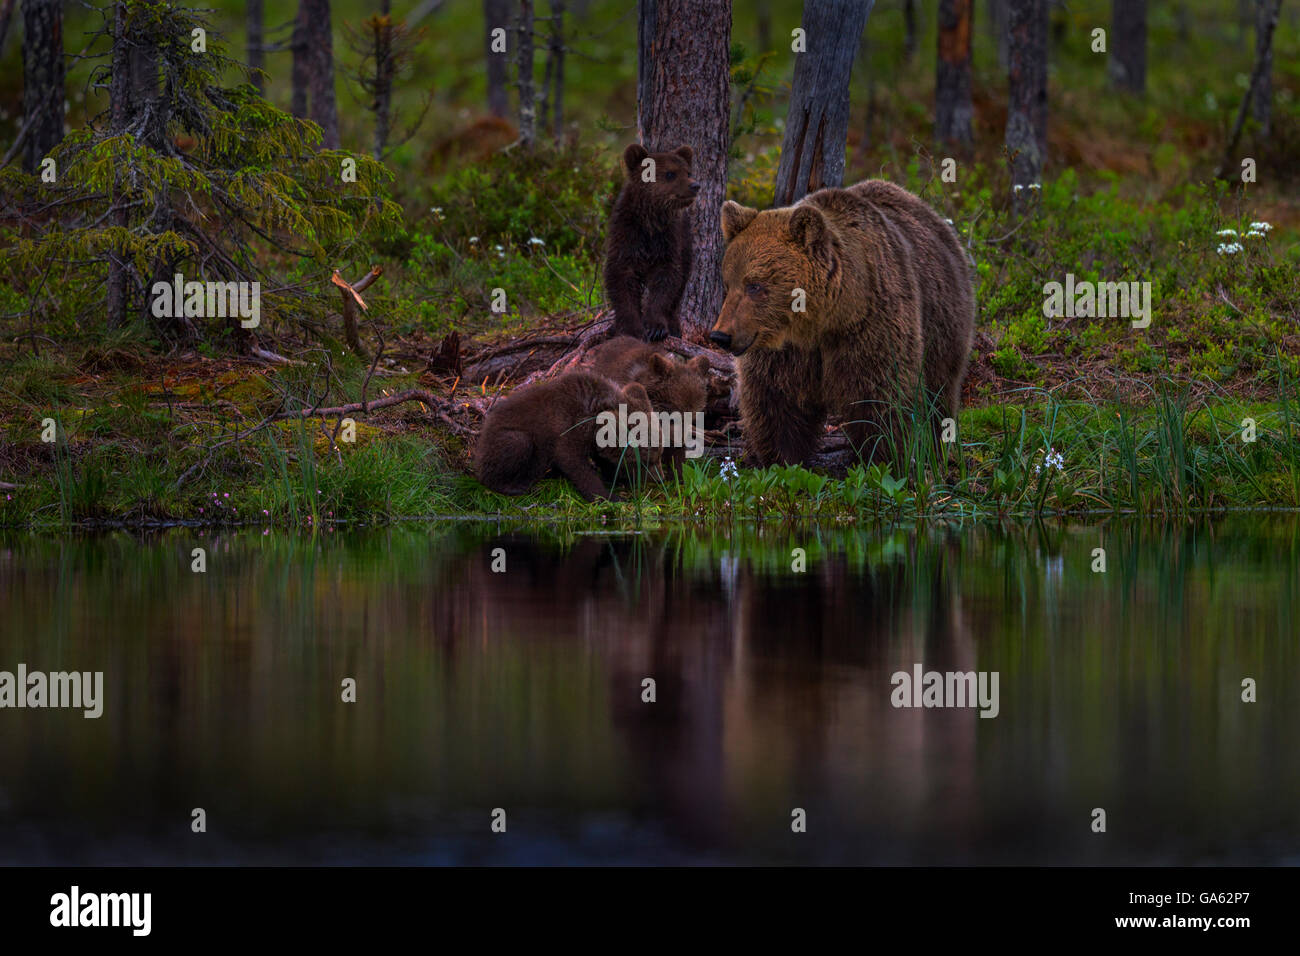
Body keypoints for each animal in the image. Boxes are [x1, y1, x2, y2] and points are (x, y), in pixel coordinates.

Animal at [474, 372, 662, 502]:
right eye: (647, 460)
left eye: (659, 453)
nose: (661, 478)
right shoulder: (566, 426)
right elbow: (573, 461)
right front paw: (609, 496)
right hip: (504, 438)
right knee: (516, 444)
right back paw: (515, 486)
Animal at [604, 143, 699, 342]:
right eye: (670, 173)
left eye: (688, 172)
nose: (695, 185)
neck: (651, 219)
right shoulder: (627, 236)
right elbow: (621, 278)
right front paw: (631, 327)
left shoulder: (668, 240)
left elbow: (666, 280)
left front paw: (656, 327)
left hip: (685, 242)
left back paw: (675, 327)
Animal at [708, 179, 975, 467]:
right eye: (728, 284)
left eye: (755, 285)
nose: (721, 336)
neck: (820, 321)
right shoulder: (785, 352)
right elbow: (777, 401)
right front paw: (782, 459)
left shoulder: (870, 327)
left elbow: (880, 396)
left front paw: (883, 457)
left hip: (942, 324)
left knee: (939, 392)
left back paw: (936, 447)